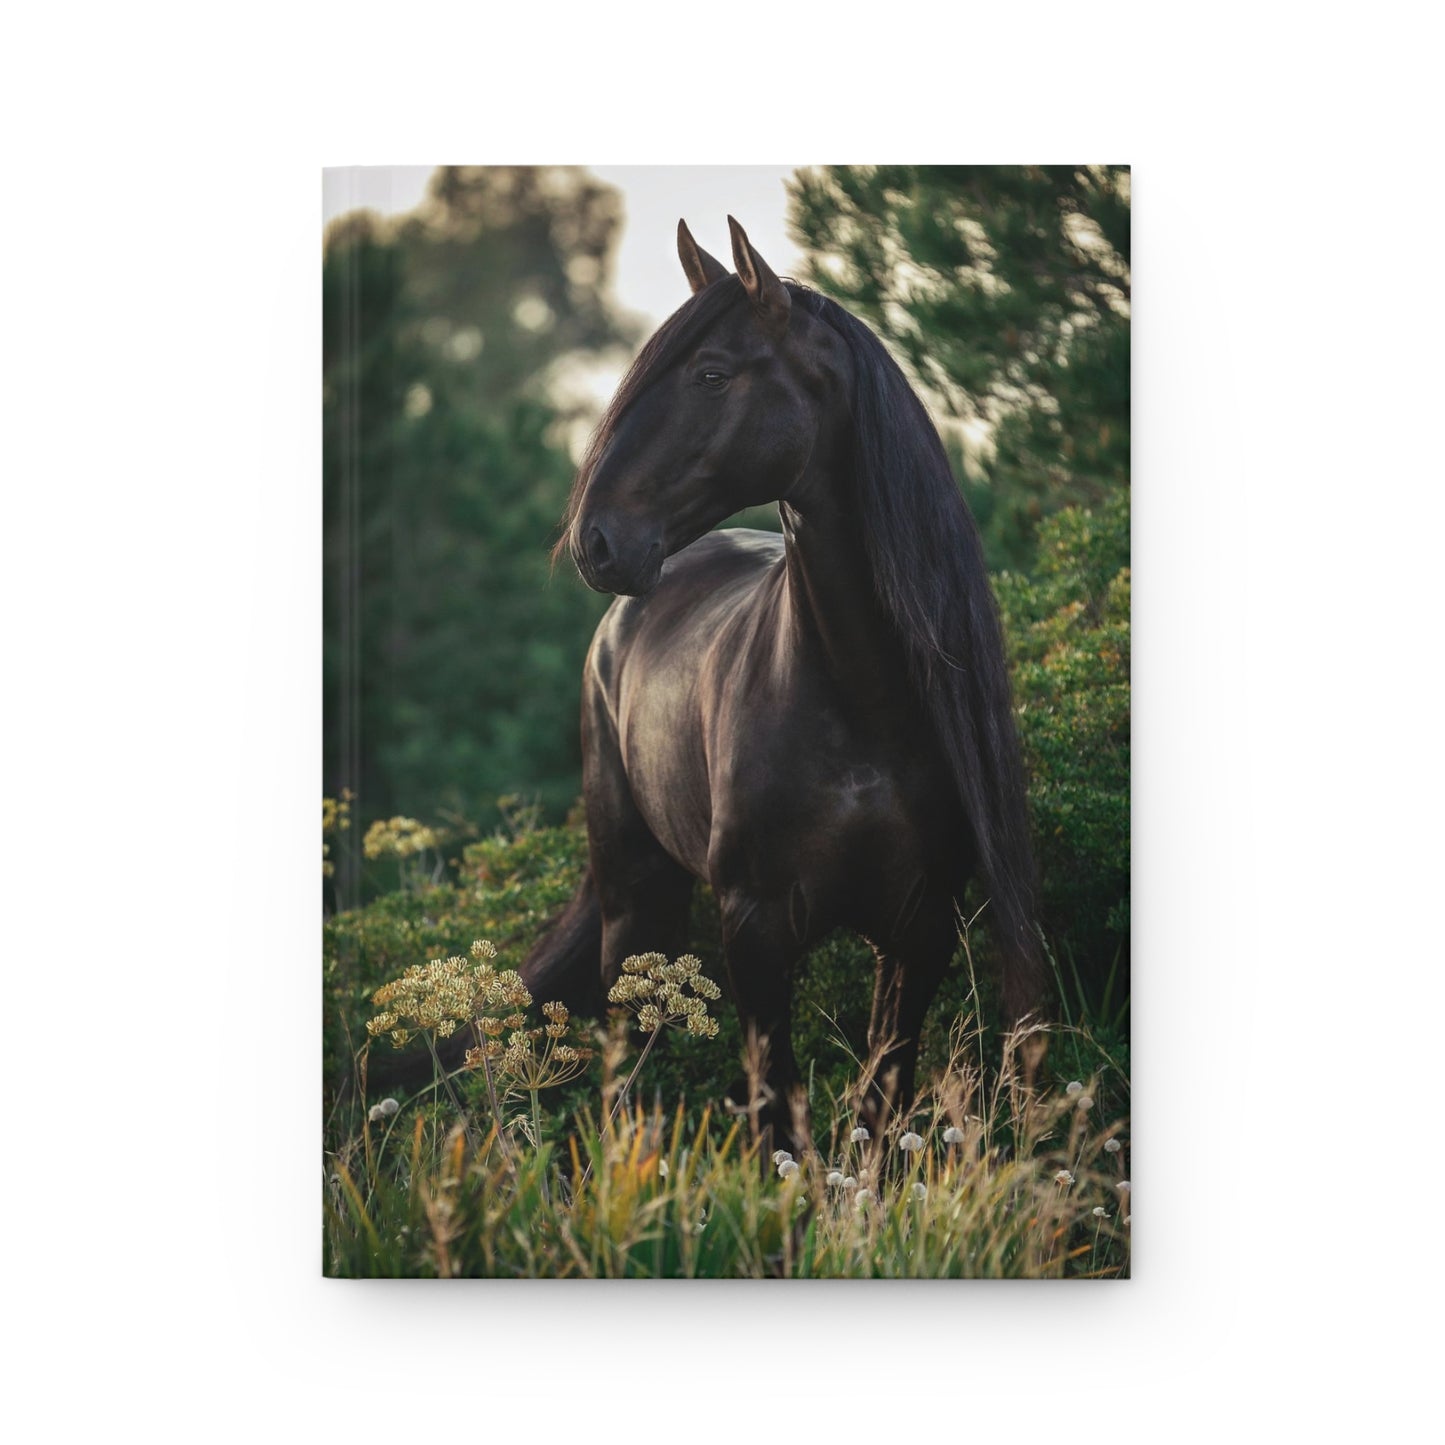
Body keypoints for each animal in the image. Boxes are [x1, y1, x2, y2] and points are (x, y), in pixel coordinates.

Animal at [521, 217, 1046, 1149]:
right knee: (627, 1067)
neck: (861, 703)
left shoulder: (918, 931)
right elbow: (777, 1117)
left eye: (710, 373)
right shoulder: (755, 929)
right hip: (634, 899)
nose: (597, 542)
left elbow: (879, 1105)